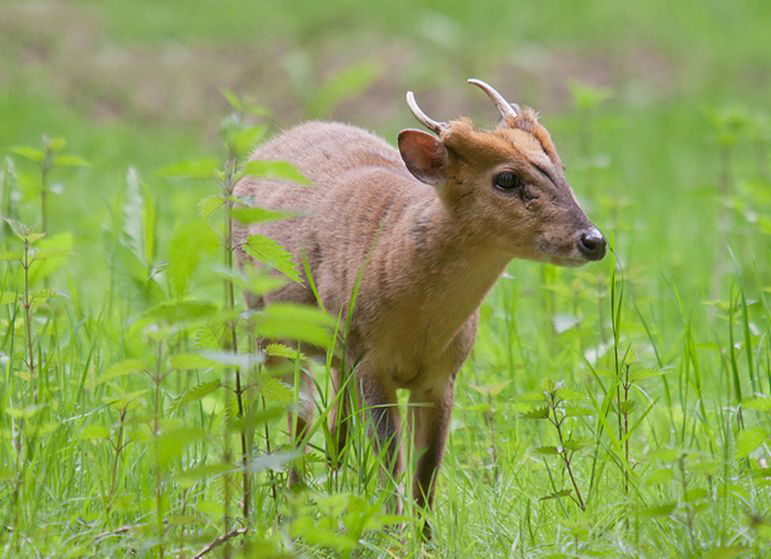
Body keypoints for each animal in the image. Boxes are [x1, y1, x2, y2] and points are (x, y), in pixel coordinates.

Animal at [232, 76, 608, 536]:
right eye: (506, 179)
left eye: (559, 170)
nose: (593, 241)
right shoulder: (372, 362)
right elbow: (390, 461)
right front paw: (391, 536)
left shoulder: (441, 375)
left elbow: (426, 470)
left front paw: (424, 539)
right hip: (266, 325)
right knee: (286, 418)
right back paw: (280, 513)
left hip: (337, 353)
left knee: (334, 430)